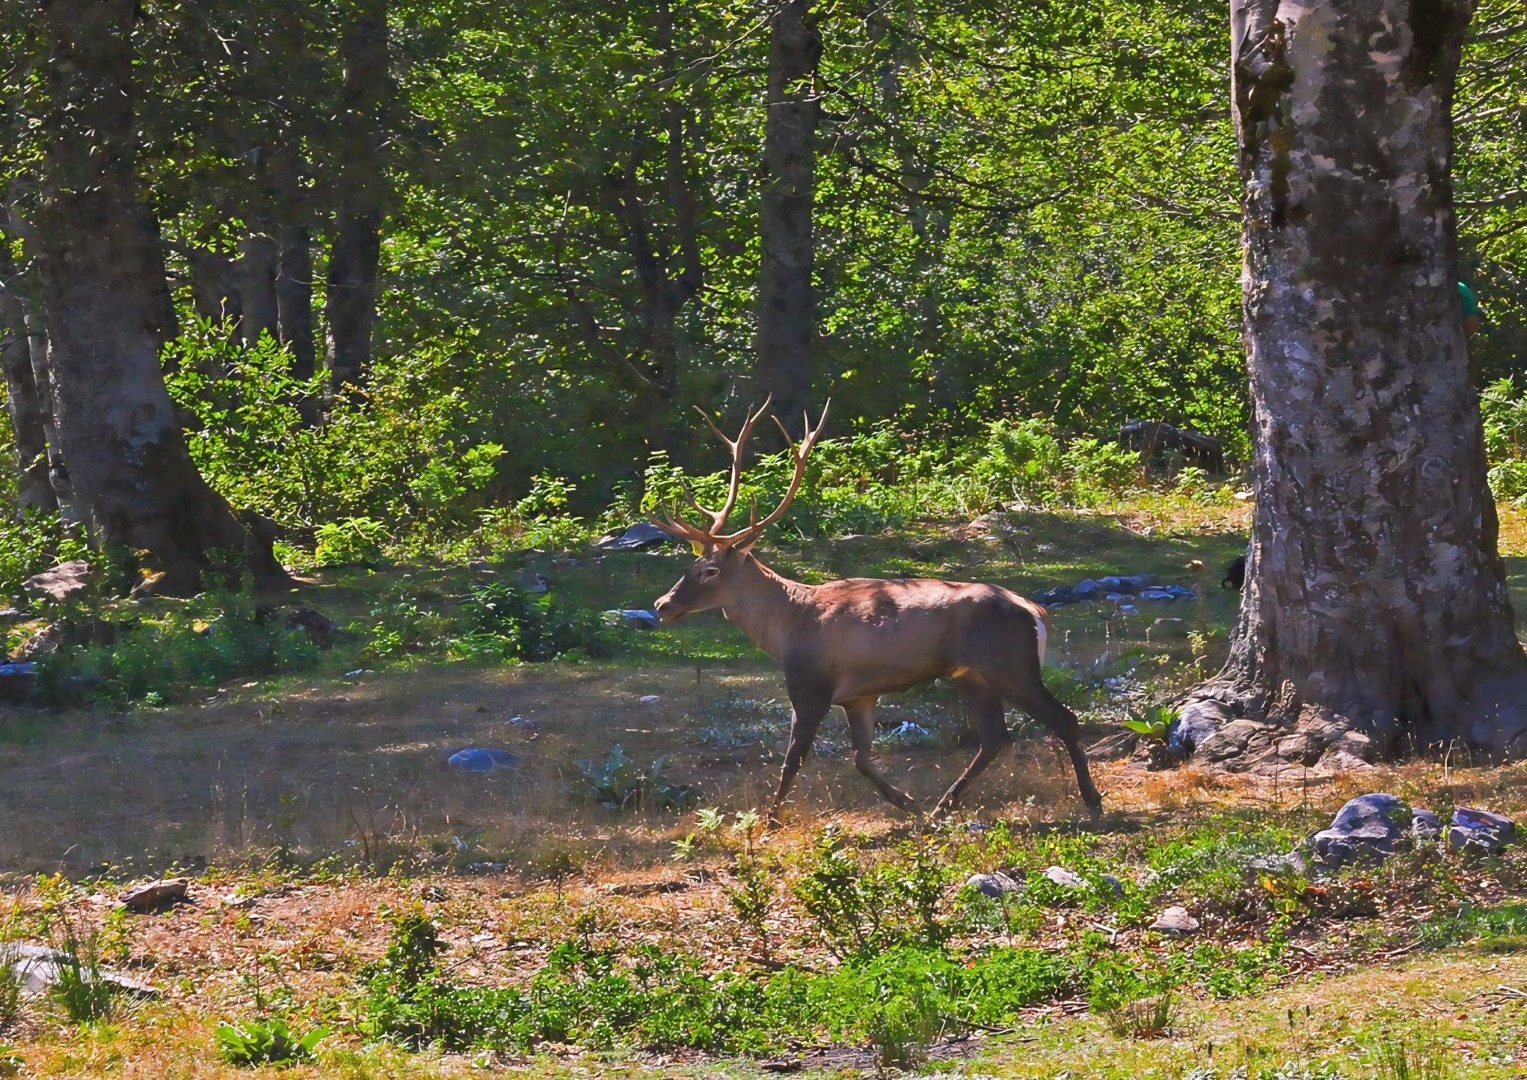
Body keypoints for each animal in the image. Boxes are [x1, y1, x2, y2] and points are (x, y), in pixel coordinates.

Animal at [650, 400, 1105, 831]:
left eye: (710, 570)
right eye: (691, 565)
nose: (662, 604)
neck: (786, 626)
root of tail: (1036, 611)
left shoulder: (810, 685)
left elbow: (793, 759)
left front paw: (770, 821)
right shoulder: (858, 694)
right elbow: (861, 757)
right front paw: (907, 802)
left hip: (1012, 665)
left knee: (1063, 719)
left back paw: (1092, 802)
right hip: (971, 674)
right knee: (994, 737)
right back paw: (942, 806)